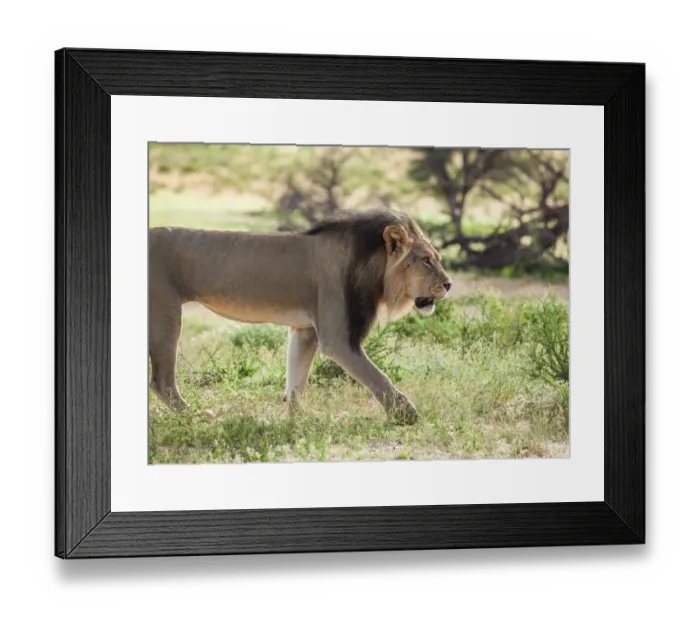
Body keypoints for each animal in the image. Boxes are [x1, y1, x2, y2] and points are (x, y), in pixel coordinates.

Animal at [149, 209, 452, 424]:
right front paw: (407, 413)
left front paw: (298, 417)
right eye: (426, 260)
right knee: (162, 381)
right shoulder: (336, 339)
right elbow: (377, 377)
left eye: (437, 257)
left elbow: (295, 380)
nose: (449, 284)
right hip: (166, 312)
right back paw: (197, 417)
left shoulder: (306, 331)